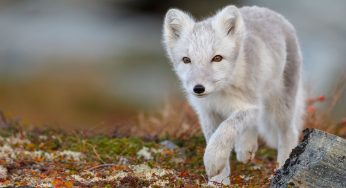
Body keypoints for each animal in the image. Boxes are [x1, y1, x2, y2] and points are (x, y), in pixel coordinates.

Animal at [162, 5, 302, 184]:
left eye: (217, 58)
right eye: (186, 60)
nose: (198, 88)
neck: (220, 92)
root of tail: (268, 10)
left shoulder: (252, 106)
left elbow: (226, 129)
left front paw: (213, 160)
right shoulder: (207, 112)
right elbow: (215, 135)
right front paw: (218, 182)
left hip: (280, 105)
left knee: (289, 133)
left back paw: (282, 166)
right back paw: (246, 149)